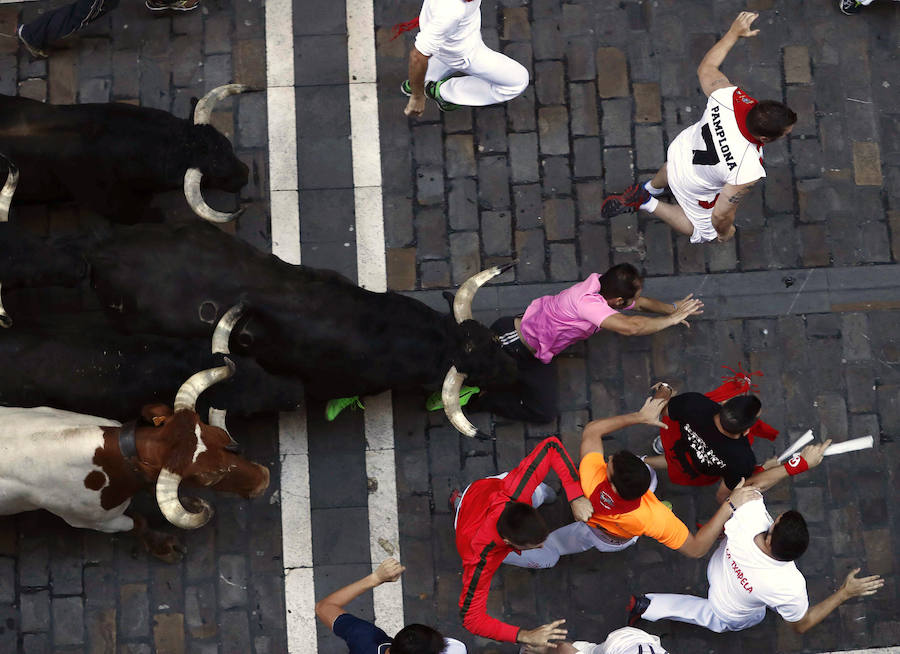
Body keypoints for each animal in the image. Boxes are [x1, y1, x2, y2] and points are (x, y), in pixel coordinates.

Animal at [0, 362, 268, 560]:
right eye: (208, 478)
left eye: (222, 436)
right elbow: (139, 522)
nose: (263, 480)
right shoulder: (95, 521)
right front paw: (164, 545)